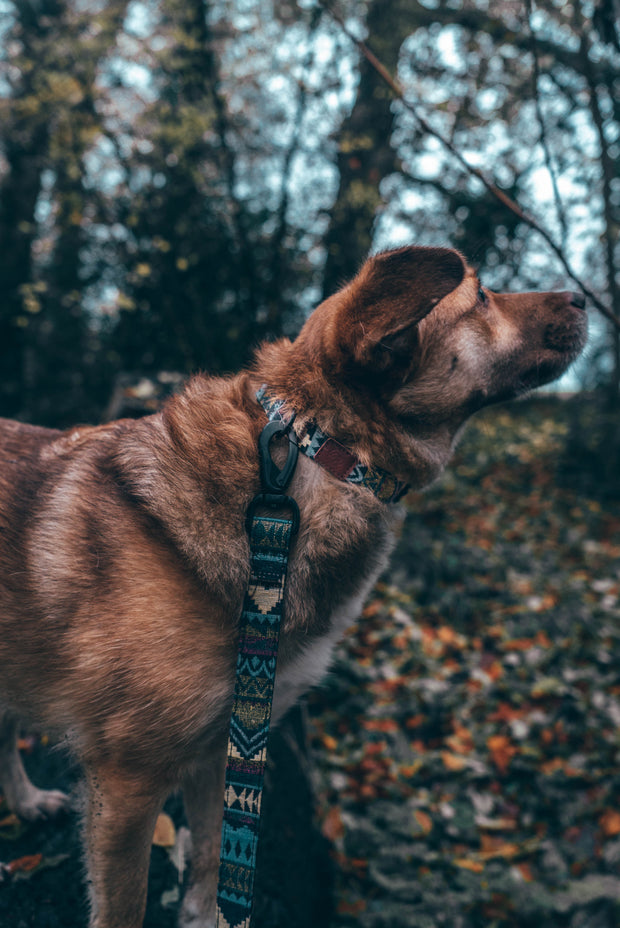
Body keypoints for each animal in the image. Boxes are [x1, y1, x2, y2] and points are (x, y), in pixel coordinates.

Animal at [0, 243, 588, 924]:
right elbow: (127, 905)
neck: (315, 455)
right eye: (483, 298)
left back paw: (24, 801)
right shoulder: (127, 782)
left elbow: (212, 858)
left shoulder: (219, 746)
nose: (583, 297)